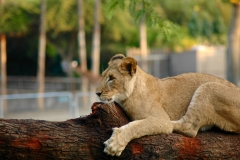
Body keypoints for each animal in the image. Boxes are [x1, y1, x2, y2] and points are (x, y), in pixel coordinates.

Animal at [95, 54, 240, 156]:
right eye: (103, 76)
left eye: (111, 78)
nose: (97, 93)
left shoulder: (160, 118)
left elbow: (138, 125)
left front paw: (115, 143)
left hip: (209, 87)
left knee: (187, 128)